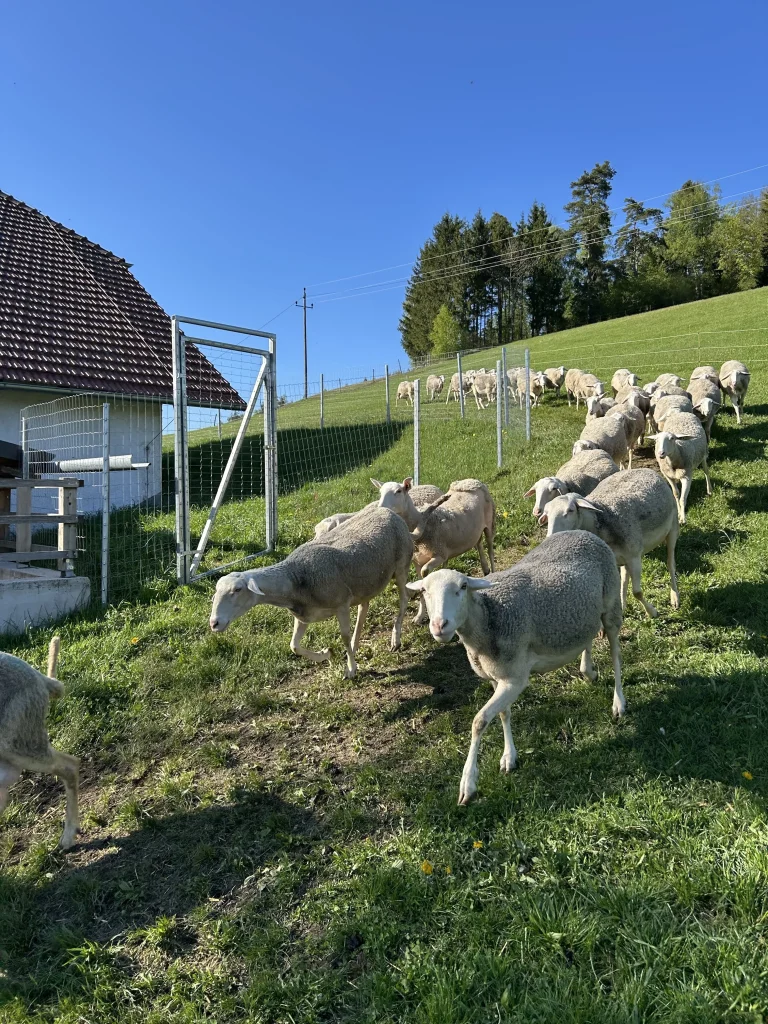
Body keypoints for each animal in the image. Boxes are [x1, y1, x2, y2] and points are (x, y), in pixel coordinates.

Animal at [210, 506, 413, 678]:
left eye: (237, 589)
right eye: (216, 592)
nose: (214, 623)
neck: (295, 577)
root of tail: (387, 510)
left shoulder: (341, 604)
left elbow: (344, 637)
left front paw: (351, 669)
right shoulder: (303, 614)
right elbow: (294, 646)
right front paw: (325, 654)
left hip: (401, 567)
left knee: (403, 600)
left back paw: (395, 639)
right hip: (366, 583)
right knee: (364, 609)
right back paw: (356, 648)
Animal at [407, 531, 625, 804]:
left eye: (463, 587)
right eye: (424, 590)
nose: (439, 625)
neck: (489, 617)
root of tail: (584, 533)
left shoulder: (515, 678)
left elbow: (479, 721)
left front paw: (468, 783)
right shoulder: (496, 676)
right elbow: (503, 714)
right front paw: (509, 756)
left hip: (611, 604)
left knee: (616, 653)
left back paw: (619, 702)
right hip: (583, 614)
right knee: (587, 635)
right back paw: (588, 670)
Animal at [408, 479, 496, 623]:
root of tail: (470, 480)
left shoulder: (439, 555)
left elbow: (425, 571)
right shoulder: (416, 561)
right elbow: (421, 581)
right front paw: (420, 616)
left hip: (489, 524)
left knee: (490, 549)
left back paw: (493, 572)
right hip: (475, 531)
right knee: (479, 544)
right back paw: (485, 569)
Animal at [541, 468, 680, 617]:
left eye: (570, 510)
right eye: (547, 514)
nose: (551, 537)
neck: (602, 519)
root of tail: (646, 469)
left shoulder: (634, 557)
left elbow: (637, 592)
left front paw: (652, 612)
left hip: (672, 528)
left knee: (671, 564)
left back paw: (675, 596)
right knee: (625, 576)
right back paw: (623, 606)